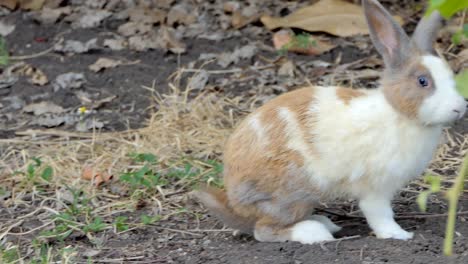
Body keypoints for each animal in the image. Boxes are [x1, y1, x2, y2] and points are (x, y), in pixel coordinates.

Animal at [193, 0, 464, 244]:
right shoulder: (375, 188)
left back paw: (324, 222)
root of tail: (234, 194)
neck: (398, 113)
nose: (460, 107)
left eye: (451, 76)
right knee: (264, 230)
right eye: (422, 81)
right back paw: (314, 233)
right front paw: (398, 234)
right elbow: (380, 214)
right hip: (292, 194)